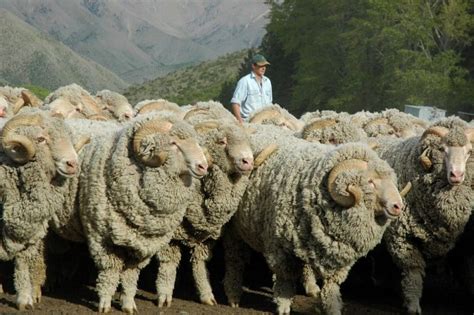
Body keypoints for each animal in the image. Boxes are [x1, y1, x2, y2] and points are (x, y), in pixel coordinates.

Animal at [0, 109, 89, 312]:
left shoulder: (30, 231)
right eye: (41, 139)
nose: (73, 164)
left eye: (69, 138)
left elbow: (23, 263)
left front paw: (25, 299)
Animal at [77, 113, 208, 314]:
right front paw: (104, 304)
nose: (203, 166)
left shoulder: (143, 243)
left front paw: (128, 305)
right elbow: (110, 272)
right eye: (173, 143)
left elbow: (131, 275)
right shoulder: (102, 239)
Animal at [222, 124, 404, 315]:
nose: (398, 206)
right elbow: (285, 280)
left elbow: (331, 287)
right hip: (234, 229)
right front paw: (283, 306)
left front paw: (332, 308)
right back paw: (233, 294)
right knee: (234, 259)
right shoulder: (279, 249)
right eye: (370, 182)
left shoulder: (338, 257)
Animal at [370, 116, 474, 315]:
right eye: (442, 149)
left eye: (469, 152)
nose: (457, 175)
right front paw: (412, 304)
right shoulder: (402, 237)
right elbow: (413, 271)